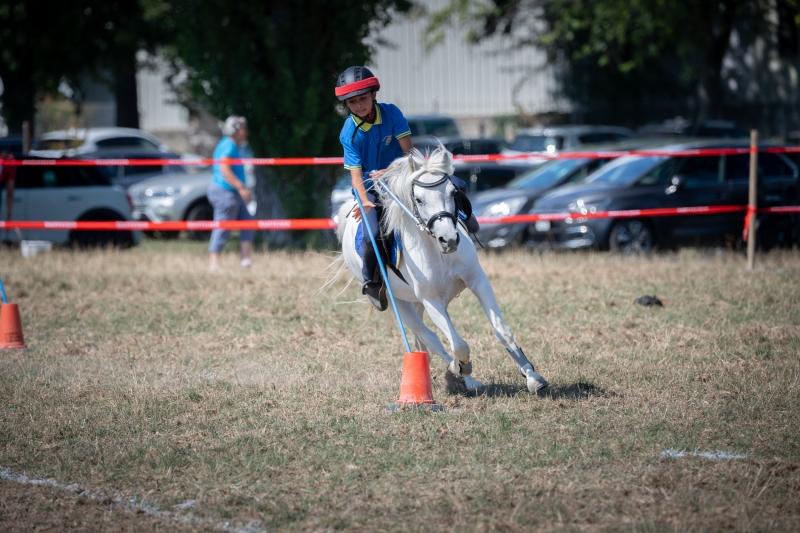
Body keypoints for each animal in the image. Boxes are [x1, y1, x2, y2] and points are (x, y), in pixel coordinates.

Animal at [338, 148, 552, 392]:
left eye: (453, 192)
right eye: (419, 199)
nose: (448, 239)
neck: (438, 251)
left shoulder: (477, 280)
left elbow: (502, 330)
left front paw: (532, 377)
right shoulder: (431, 300)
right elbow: (458, 344)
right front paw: (461, 367)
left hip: (419, 302)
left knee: (424, 339)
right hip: (399, 303)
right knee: (430, 337)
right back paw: (457, 372)